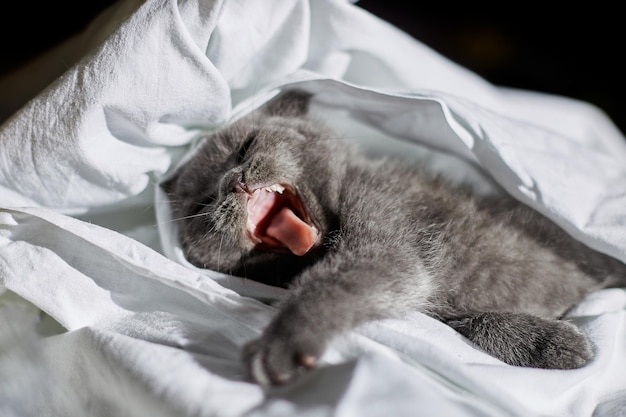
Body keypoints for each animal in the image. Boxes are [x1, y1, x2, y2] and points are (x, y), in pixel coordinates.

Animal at [162, 89, 624, 386]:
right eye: (203, 203)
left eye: (246, 146)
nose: (234, 181)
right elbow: (465, 319)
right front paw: (554, 343)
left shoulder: (386, 229)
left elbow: (331, 286)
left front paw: (282, 342)